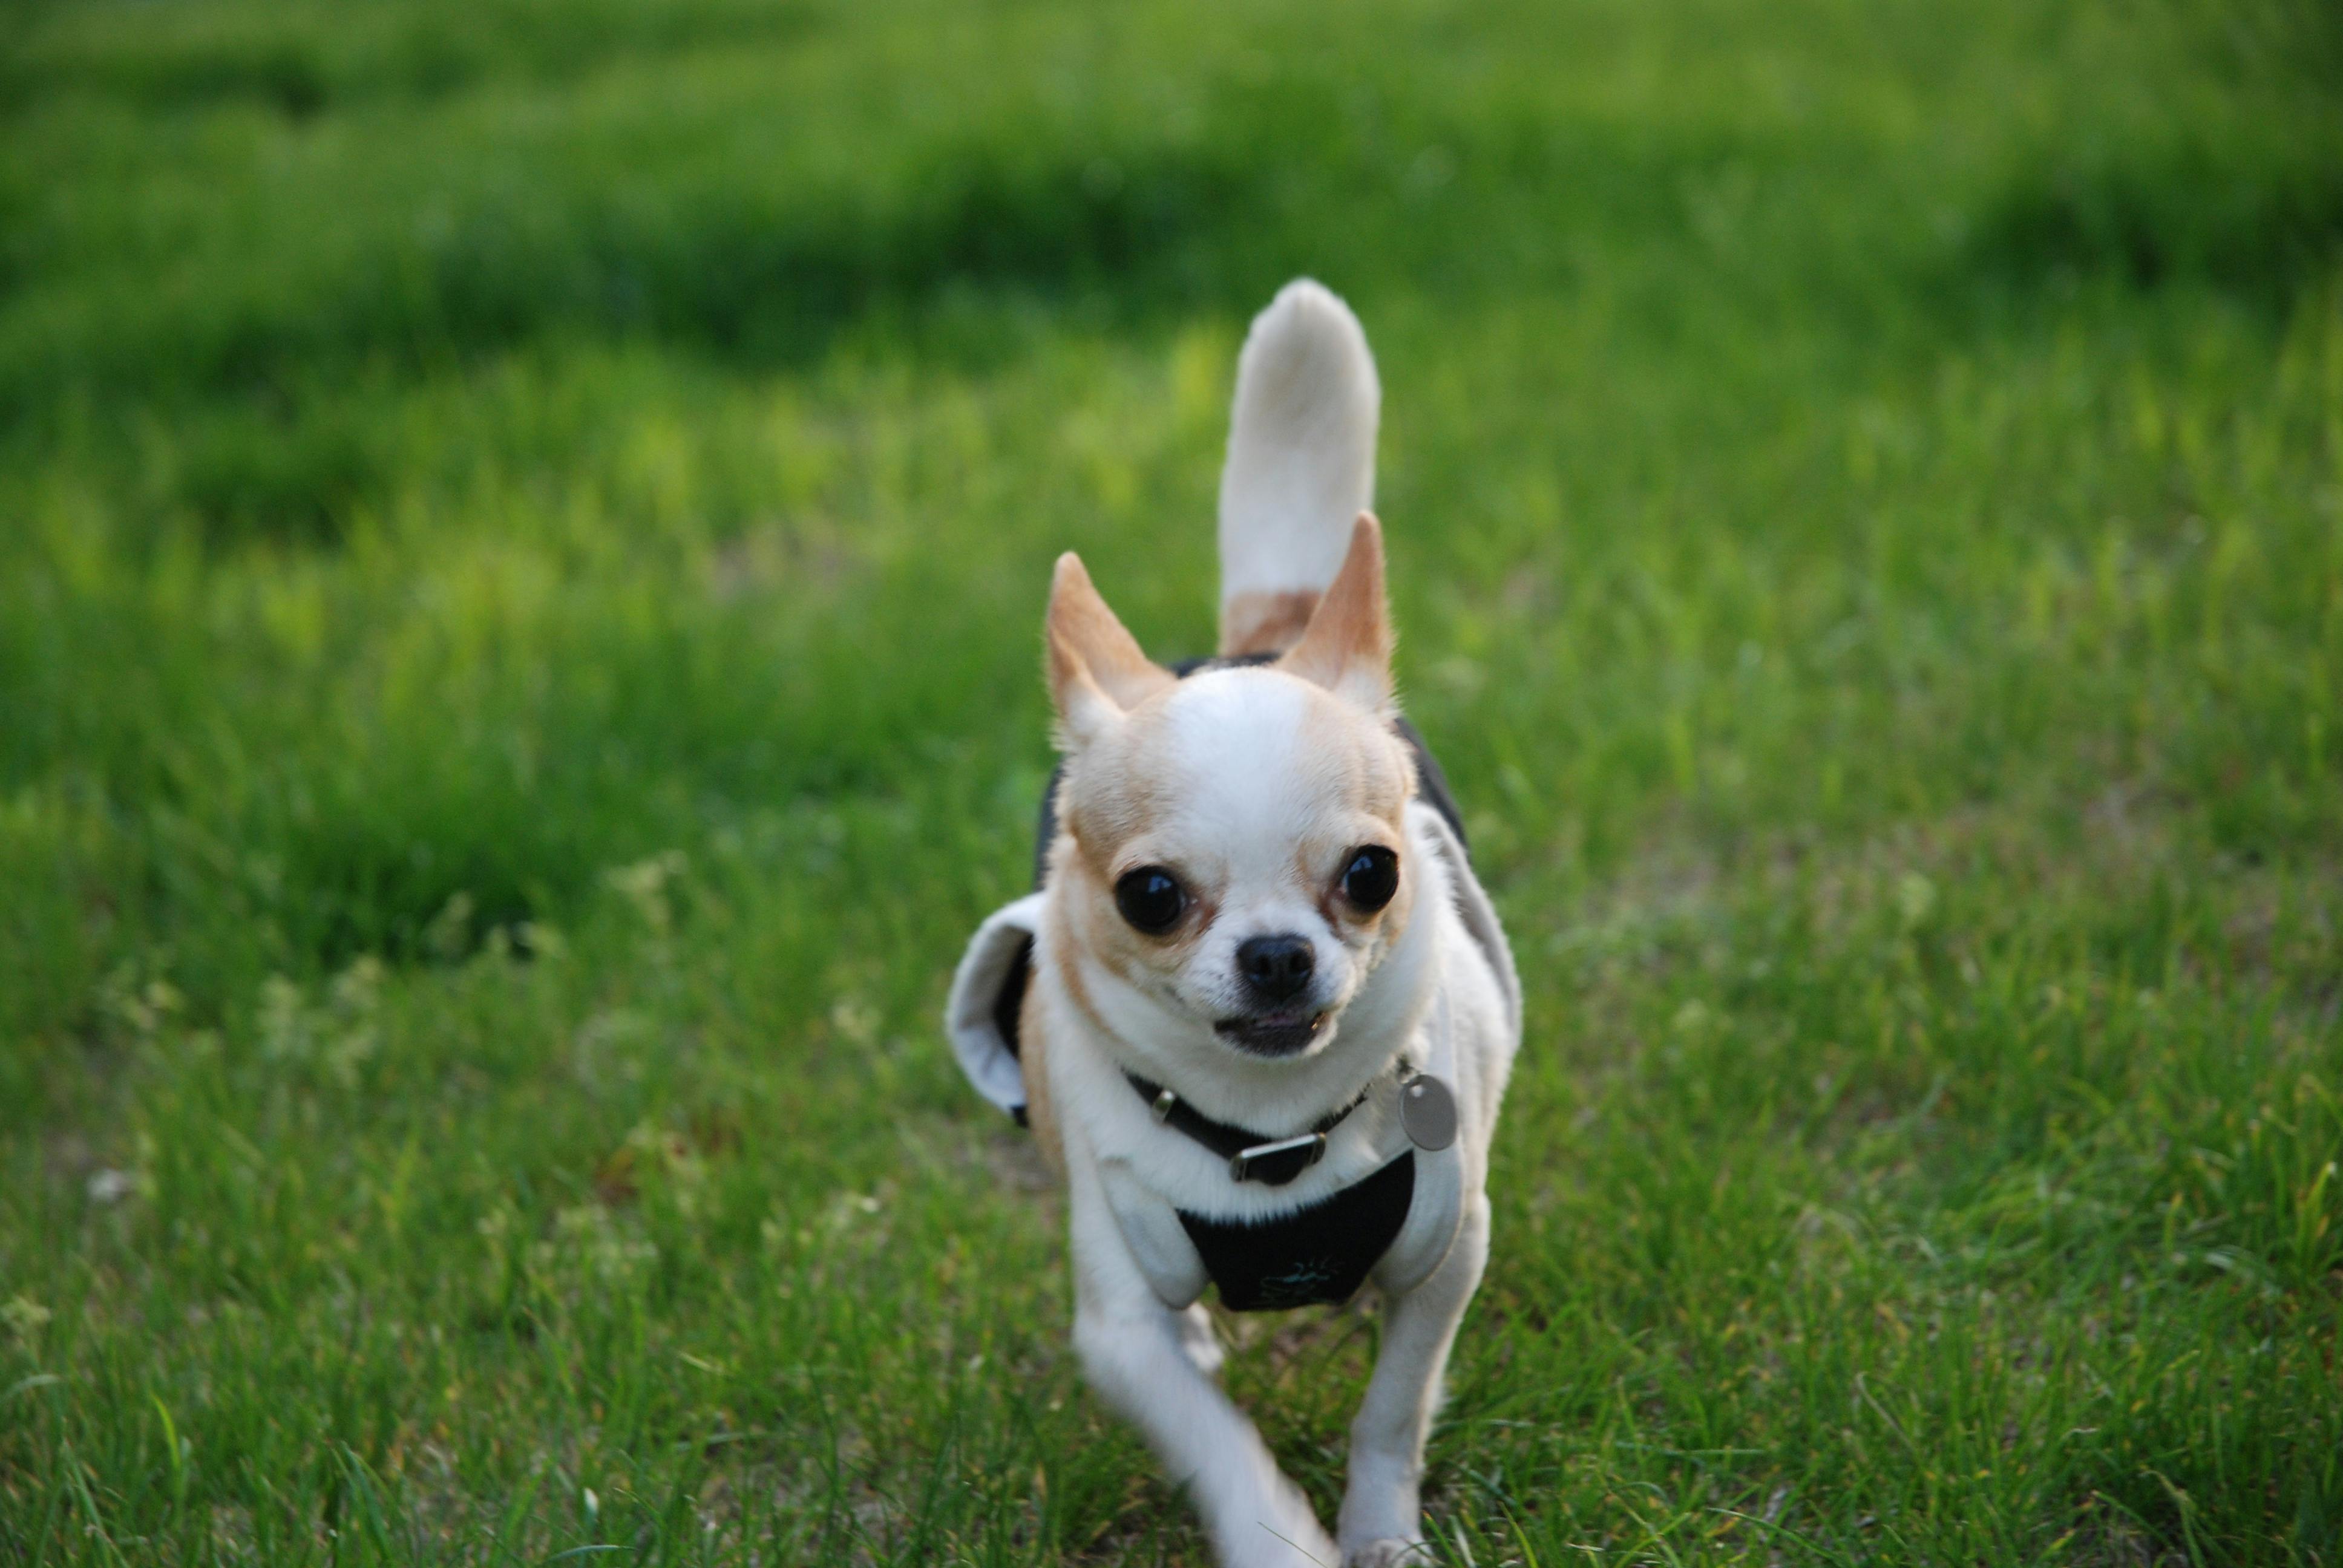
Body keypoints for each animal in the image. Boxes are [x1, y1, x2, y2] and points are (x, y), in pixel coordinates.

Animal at [942, 278, 1527, 1566]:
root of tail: (1259, 635)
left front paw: (1378, 1531)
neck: (1270, 1138)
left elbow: (1392, 1407)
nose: (1275, 954)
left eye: (1369, 873)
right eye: (1151, 896)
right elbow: (1216, 1445)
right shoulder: (1120, 1327)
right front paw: (1284, 1543)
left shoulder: (1445, 1252)